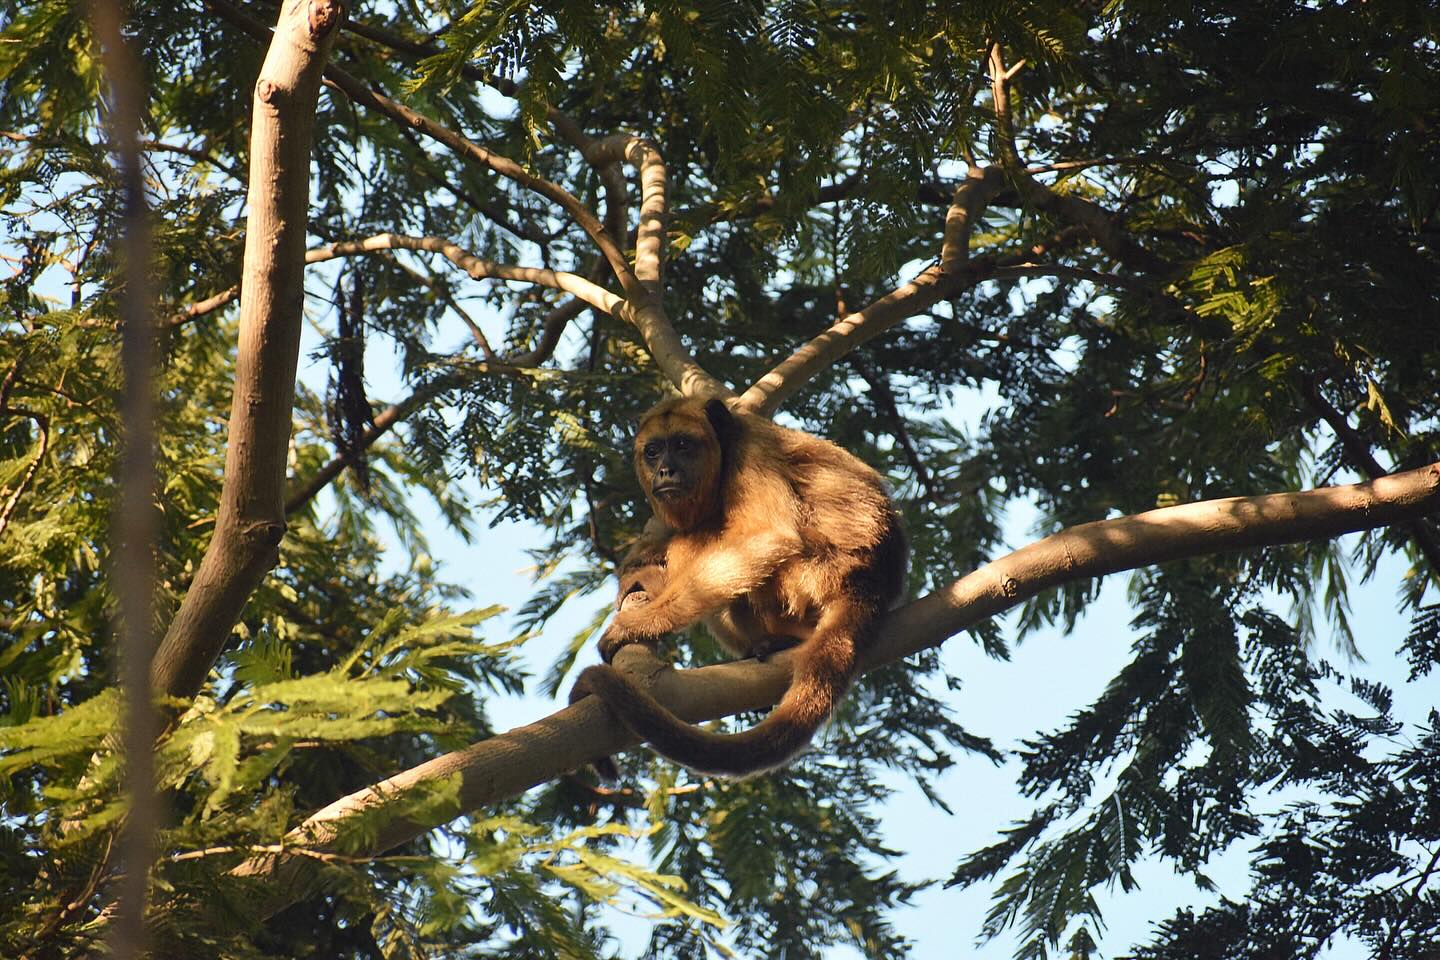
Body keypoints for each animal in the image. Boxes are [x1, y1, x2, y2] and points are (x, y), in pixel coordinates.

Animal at [570, 395, 907, 776]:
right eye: (653, 451)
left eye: (683, 445)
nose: (666, 471)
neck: (726, 445)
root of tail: (869, 586)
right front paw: (641, 566)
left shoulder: (752, 454)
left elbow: (769, 536)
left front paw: (641, 622)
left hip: (811, 578)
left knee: (702, 537)